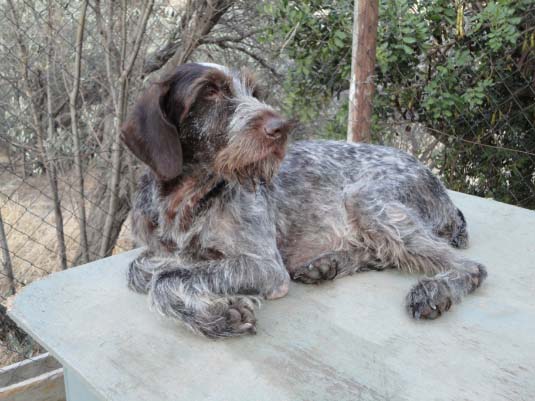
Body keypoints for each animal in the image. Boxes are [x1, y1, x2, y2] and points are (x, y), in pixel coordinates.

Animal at [121, 63, 487, 338]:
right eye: (209, 91)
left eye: (254, 92)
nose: (281, 127)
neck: (188, 199)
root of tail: (441, 188)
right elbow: (141, 270)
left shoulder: (266, 266)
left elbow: (166, 280)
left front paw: (221, 314)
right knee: (384, 253)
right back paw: (328, 264)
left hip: (364, 197)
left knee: (470, 267)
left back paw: (436, 290)